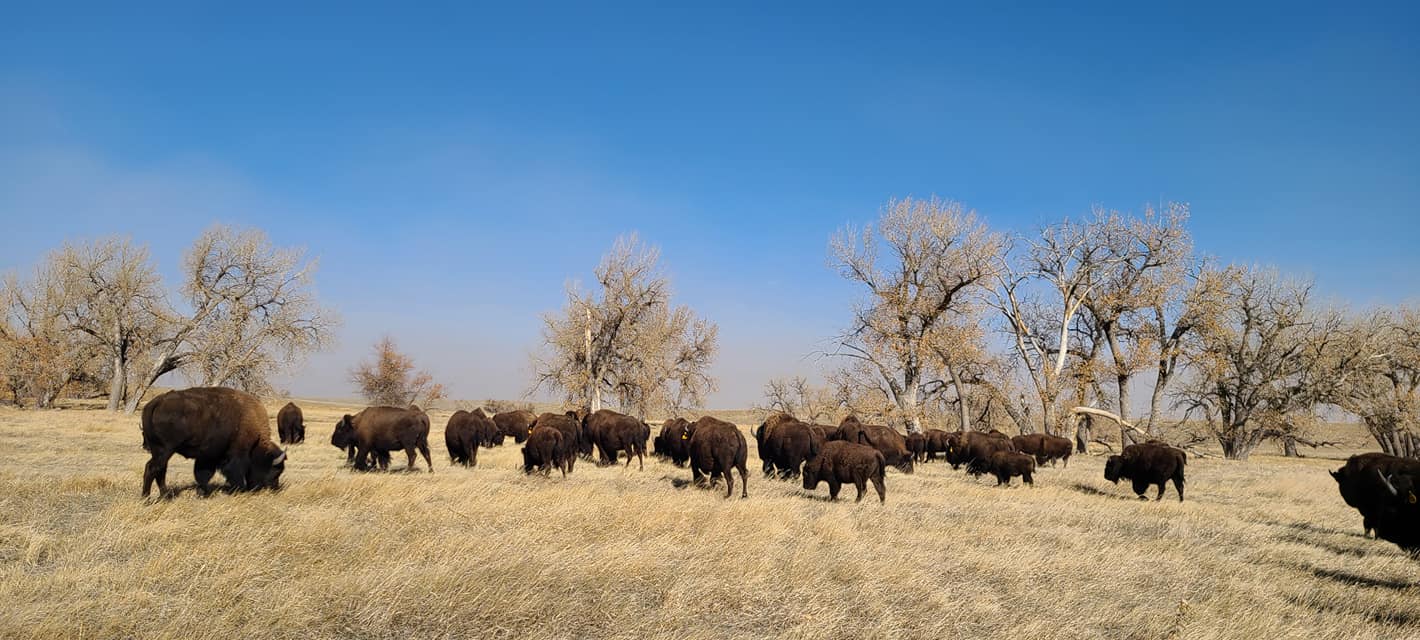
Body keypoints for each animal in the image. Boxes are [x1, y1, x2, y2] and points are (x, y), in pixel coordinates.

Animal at [140, 387, 287, 497]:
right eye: (275, 471)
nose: (275, 488)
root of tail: (157, 402)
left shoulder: (208, 457)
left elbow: (202, 474)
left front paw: (202, 493)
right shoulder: (236, 455)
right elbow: (233, 472)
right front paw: (238, 490)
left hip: (159, 451)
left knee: (160, 470)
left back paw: (165, 496)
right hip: (165, 450)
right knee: (152, 468)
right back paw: (147, 498)